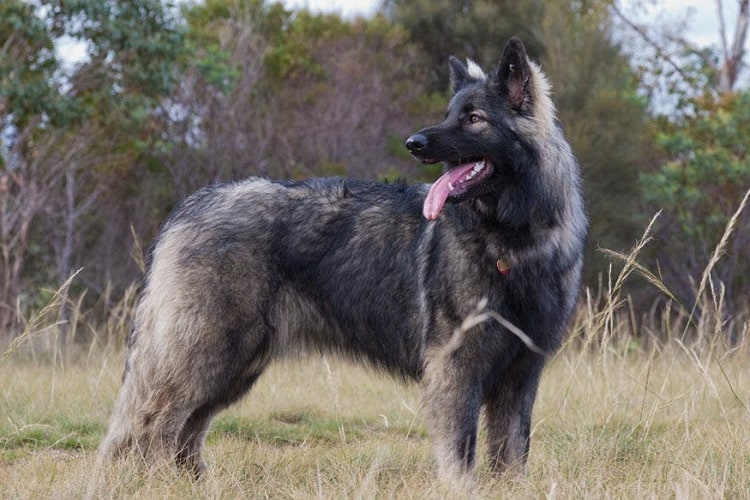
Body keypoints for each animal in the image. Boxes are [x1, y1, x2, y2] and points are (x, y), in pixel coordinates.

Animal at [100, 37, 592, 482]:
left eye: (474, 119)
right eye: (450, 115)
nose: (413, 142)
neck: (511, 237)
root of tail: (192, 204)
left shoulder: (521, 374)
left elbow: (512, 453)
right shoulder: (457, 368)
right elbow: (461, 452)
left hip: (236, 364)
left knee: (186, 427)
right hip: (209, 352)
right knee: (155, 421)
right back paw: (155, 482)